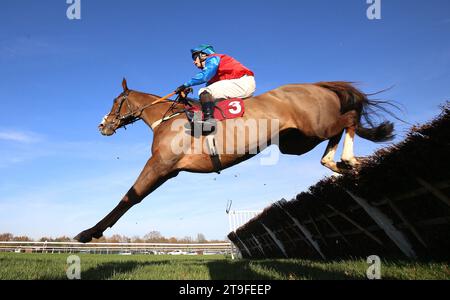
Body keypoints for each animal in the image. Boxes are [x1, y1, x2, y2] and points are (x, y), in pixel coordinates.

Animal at [74, 78, 394, 243]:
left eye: (116, 102)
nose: (102, 125)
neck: (168, 117)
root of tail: (320, 86)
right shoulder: (168, 171)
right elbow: (132, 197)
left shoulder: (161, 164)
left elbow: (129, 197)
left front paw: (89, 232)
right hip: (297, 140)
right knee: (338, 131)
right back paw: (342, 163)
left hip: (313, 128)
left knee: (349, 118)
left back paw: (349, 159)